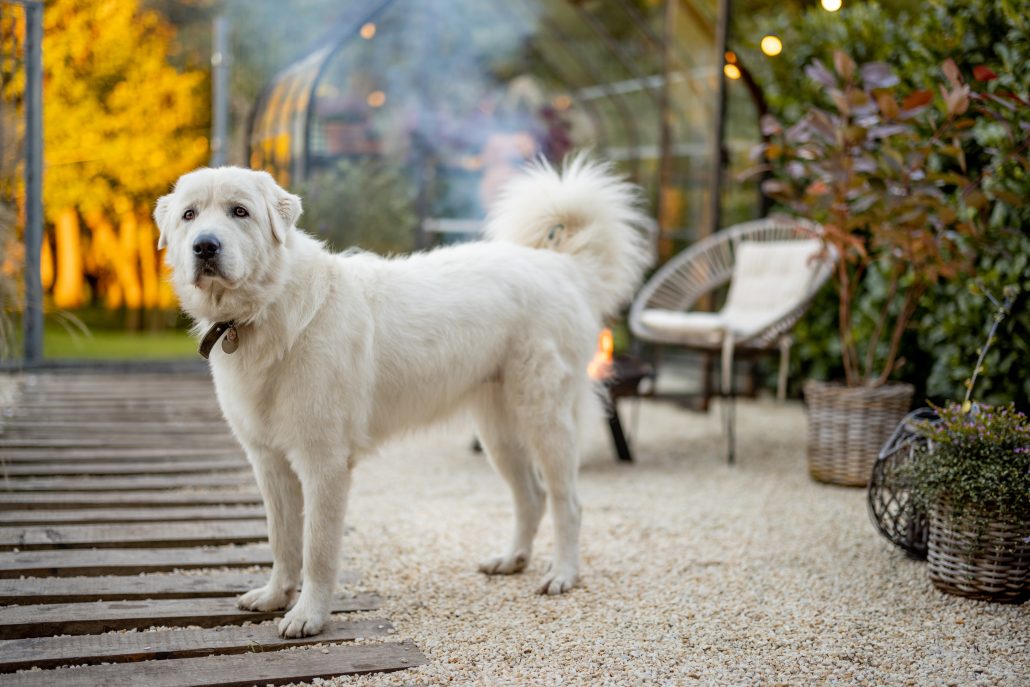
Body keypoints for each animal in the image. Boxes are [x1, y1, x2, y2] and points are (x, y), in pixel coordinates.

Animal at [154, 155, 642, 638]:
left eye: (239, 211)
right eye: (189, 216)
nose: (205, 247)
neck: (268, 311)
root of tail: (561, 266)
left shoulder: (324, 463)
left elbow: (317, 548)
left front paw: (309, 615)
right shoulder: (268, 461)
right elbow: (281, 538)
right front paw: (275, 596)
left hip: (546, 420)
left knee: (566, 503)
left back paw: (563, 575)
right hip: (498, 432)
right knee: (531, 497)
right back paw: (511, 560)